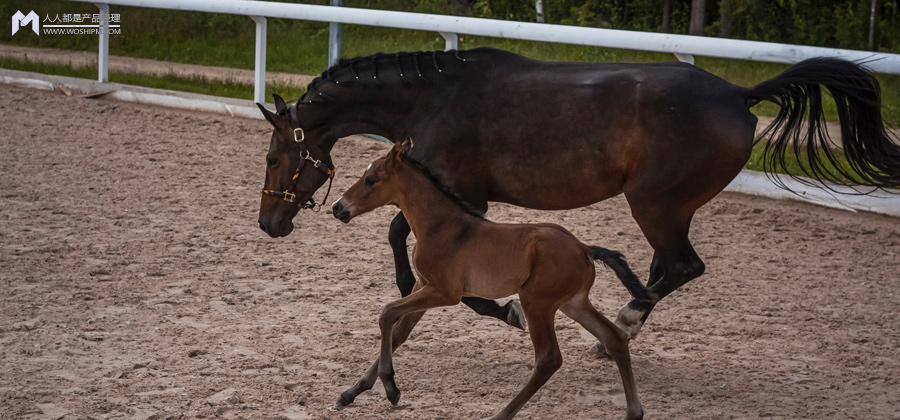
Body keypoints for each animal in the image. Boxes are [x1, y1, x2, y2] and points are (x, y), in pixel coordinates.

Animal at [253, 46, 900, 352]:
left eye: (272, 157)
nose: (268, 222)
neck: (434, 99)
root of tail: (739, 95)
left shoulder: (464, 199)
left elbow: (401, 237)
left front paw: (495, 308)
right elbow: (399, 237)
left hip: (654, 205)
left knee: (683, 266)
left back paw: (626, 319)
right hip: (673, 210)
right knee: (666, 267)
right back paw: (621, 327)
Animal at [332, 142, 652, 420]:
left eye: (371, 180)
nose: (337, 207)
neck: (441, 226)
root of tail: (584, 248)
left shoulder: (444, 292)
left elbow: (387, 313)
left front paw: (391, 388)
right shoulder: (424, 287)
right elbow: (399, 332)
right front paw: (351, 393)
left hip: (536, 302)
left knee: (548, 359)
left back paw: (501, 414)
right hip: (573, 304)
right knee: (614, 339)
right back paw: (633, 412)